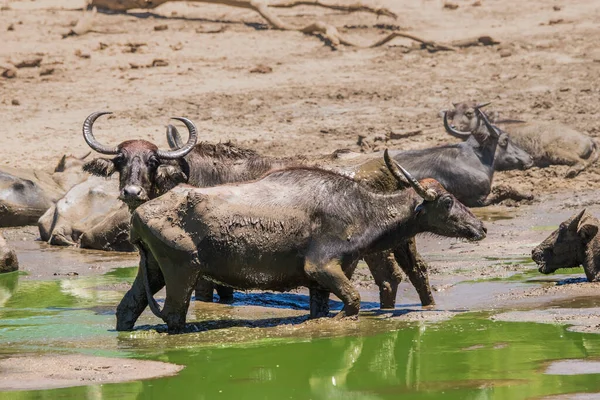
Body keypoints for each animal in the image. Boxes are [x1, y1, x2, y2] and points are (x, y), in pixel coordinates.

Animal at [117, 150, 488, 332]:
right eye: (448, 201)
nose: (480, 227)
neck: (361, 210)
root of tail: (138, 215)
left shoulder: (322, 280)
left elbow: (324, 309)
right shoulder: (322, 267)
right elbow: (353, 302)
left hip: (154, 269)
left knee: (127, 308)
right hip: (183, 271)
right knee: (173, 317)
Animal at [448, 101, 596, 178]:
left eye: (469, 113)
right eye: (453, 114)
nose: (453, 126)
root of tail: (588, 139)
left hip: (556, 151)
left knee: (582, 162)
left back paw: (570, 172)